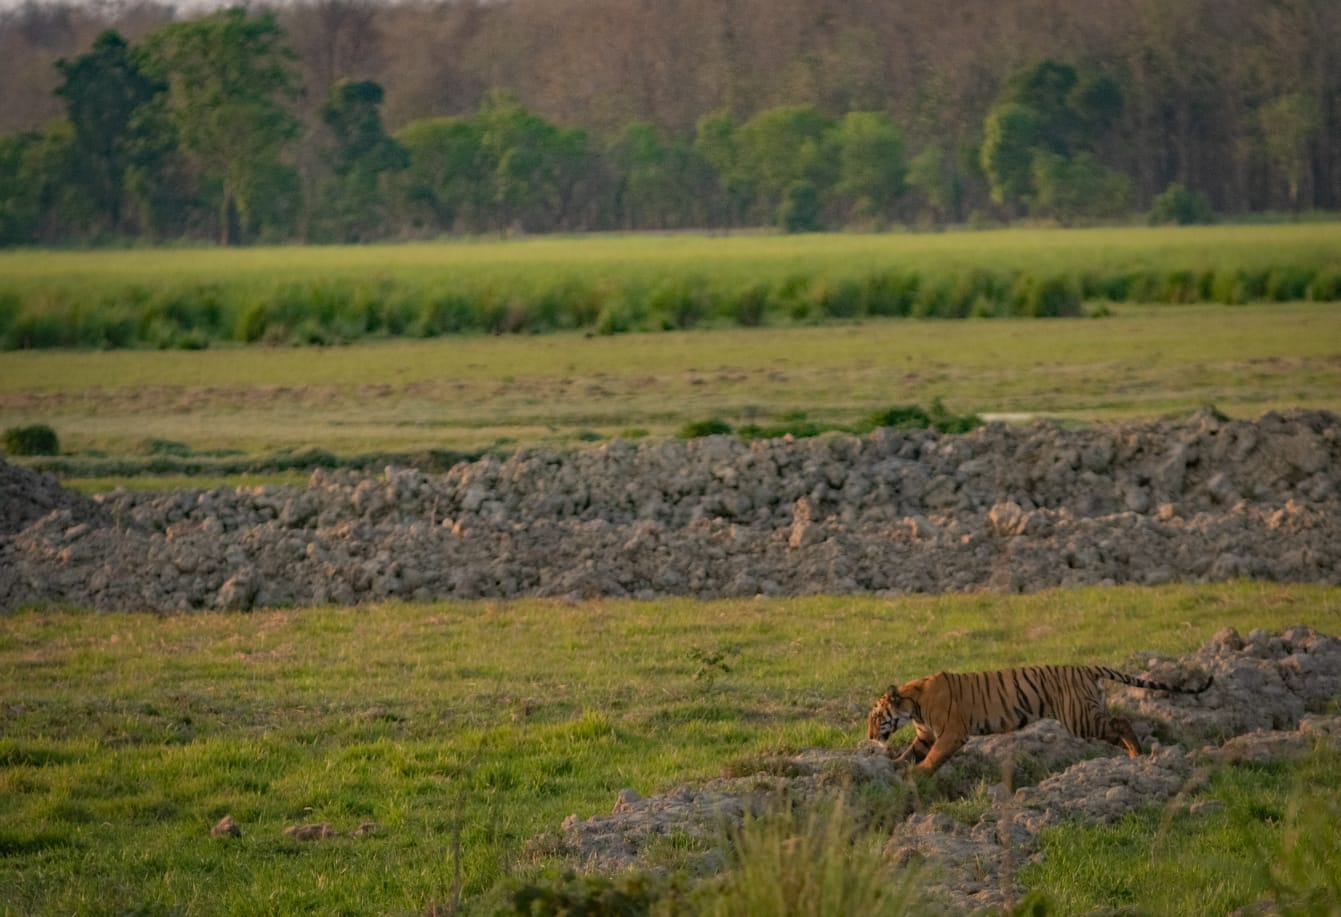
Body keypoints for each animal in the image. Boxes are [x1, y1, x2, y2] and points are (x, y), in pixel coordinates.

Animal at [866, 664, 1213, 774]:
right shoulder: (925, 734)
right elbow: (910, 752)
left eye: (875, 717)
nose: (868, 737)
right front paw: (893, 766)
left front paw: (916, 775)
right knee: (1118, 724)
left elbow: (932, 758)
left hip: (1080, 719)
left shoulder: (951, 733)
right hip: (1088, 714)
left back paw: (1136, 755)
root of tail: (1087, 668)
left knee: (1120, 724)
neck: (912, 704)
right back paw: (1135, 757)